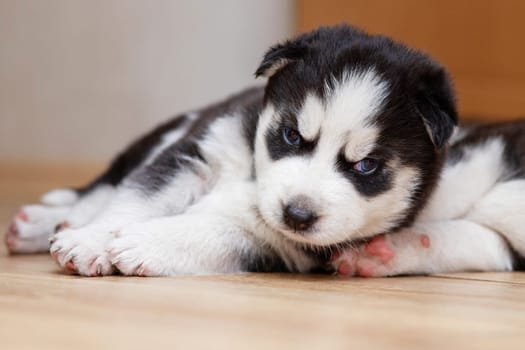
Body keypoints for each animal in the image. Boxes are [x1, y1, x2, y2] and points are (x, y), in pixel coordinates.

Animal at [5, 25, 524, 276]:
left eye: (366, 166)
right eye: (292, 136)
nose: (297, 214)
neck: (254, 176)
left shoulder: (280, 244)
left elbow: (211, 234)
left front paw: (142, 244)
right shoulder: (199, 150)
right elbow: (135, 198)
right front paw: (91, 240)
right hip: (164, 134)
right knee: (102, 187)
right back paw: (48, 221)